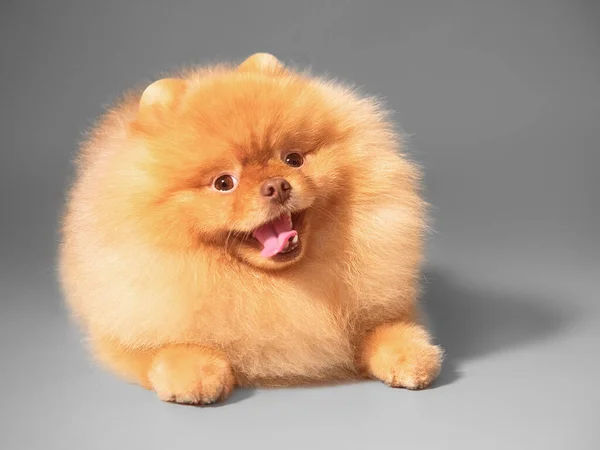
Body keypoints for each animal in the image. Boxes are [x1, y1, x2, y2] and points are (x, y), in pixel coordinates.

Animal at [59, 52, 440, 404]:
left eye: (293, 159)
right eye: (224, 183)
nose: (277, 186)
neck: (277, 284)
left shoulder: (379, 303)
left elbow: (385, 327)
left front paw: (412, 355)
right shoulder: (126, 323)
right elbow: (163, 347)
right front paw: (196, 372)